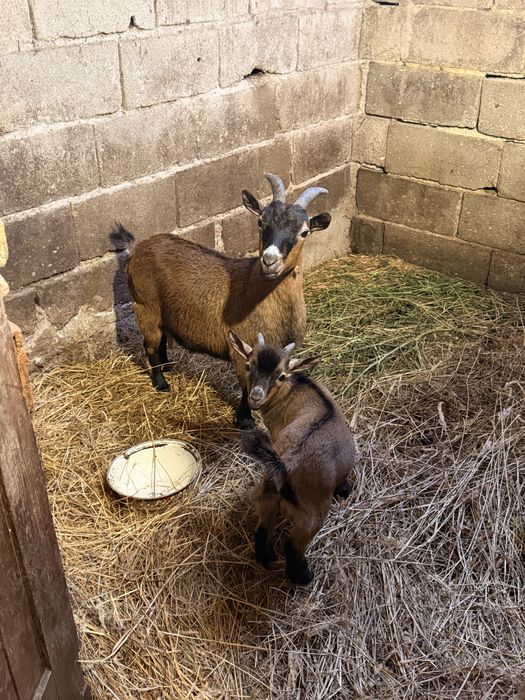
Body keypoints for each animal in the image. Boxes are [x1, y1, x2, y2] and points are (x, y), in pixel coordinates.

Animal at [116, 172, 332, 428]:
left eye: (304, 232)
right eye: (261, 222)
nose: (269, 261)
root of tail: (137, 248)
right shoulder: (242, 352)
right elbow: (245, 385)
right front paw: (245, 420)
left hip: (161, 313)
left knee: (160, 340)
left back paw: (167, 367)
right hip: (145, 306)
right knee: (149, 344)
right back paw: (161, 383)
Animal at [229, 330, 357, 585]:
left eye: (281, 375)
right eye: (248, 365)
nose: (256, 396)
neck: (293, 388)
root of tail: (284, 465)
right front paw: (345, 490)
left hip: (267, 493)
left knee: (262, 529)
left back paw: (267, 559)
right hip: (313, 513)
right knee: (293, 546)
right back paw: (303, 576)